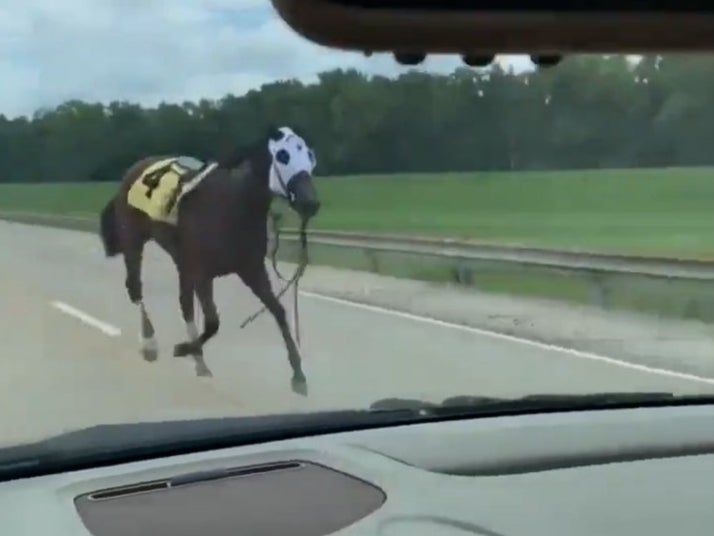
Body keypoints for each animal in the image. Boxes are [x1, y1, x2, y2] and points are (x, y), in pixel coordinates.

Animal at [97, 124, 320, 394]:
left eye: (310, 155)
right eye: (283, 155)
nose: (310, 202)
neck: (232, 205)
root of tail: (133, 170)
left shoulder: (251, 269)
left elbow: (278, 311)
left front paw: (298, 374)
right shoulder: (203, 273)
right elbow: (213, 322)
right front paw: (183, 348)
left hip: (181, 260)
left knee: (184, 304)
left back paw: (197, 360)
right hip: (134, 242)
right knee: (135, 288)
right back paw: (150, 343)